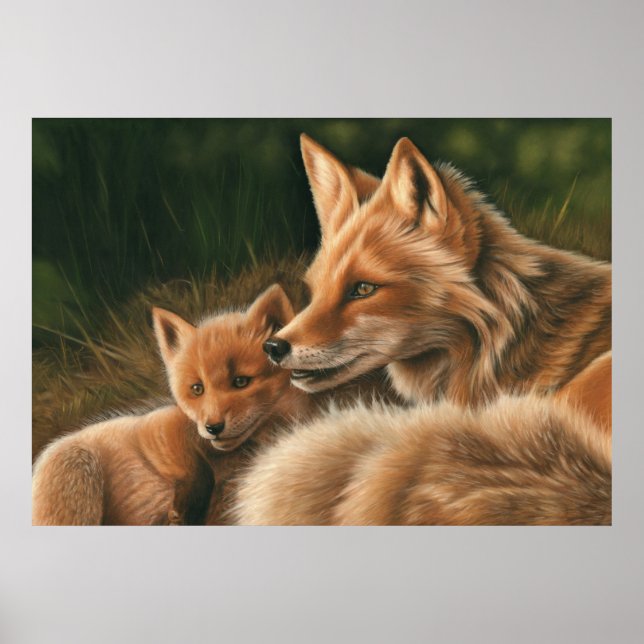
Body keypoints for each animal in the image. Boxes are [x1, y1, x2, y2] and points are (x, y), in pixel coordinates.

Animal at [32, 284, 309, 525]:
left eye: (241, 381)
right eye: (197, 389)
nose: (213, 427)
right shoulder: (156, 426)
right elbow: (197, 469)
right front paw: (186, 509)